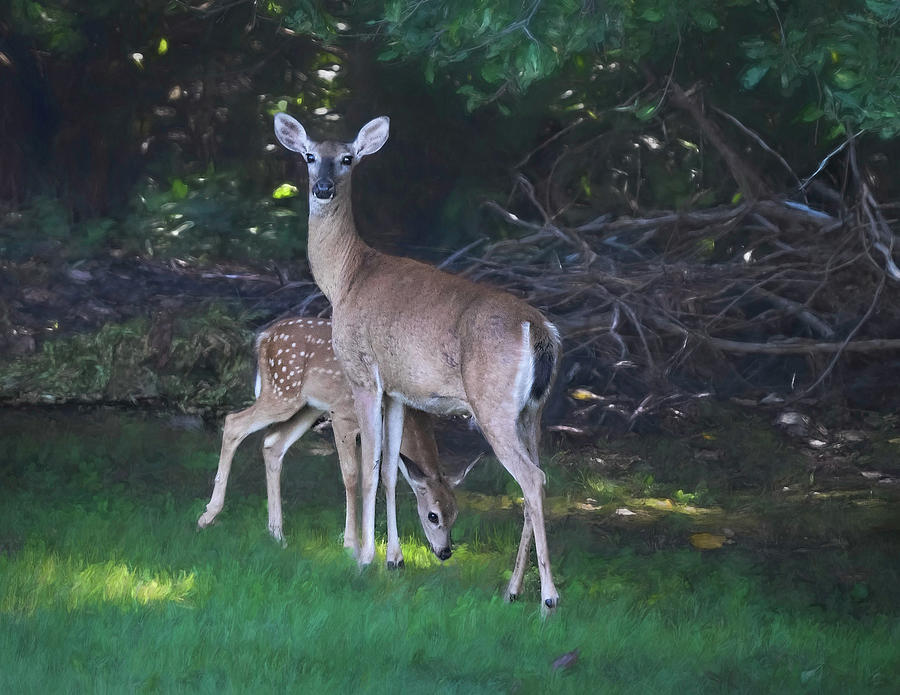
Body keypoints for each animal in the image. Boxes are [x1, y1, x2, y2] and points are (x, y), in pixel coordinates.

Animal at [197, 318, 464, 564]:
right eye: (433, 516)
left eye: (455, 514)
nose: (445, 552)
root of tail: (264, 336)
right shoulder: (342, 414)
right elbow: (352, 476)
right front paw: (351, 547)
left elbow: (384, 477)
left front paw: (388, 555)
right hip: (282, 391)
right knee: (233, 422)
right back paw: (208, 515)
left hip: (307, 407)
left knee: (273, 443)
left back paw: (277, 535)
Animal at [274, 114, 560, 616]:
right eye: (309, 156)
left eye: (346, 158)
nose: (324, 188)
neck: (345, 278)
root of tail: (538, 329)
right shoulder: (398, 391)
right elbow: (391, 470)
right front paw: (394, 559)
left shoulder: (363, 373)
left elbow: (369, 466)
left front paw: (363, 558)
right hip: (532, 411)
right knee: (534, 483)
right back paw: (512, 589)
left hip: (492, 404)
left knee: (532, 478)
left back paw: (547, 599)